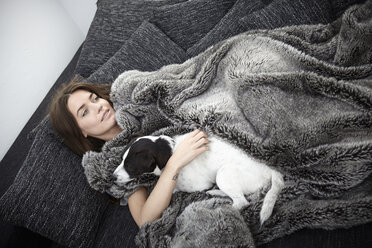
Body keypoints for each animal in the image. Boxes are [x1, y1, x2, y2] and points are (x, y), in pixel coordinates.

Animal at [113, 133, 284, 224]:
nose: (112, 177)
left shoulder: (198, 184)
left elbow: (174, 188)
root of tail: (270, 170)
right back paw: (217, 193)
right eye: (121, 159)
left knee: (241, 202)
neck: (171, 152)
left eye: (130, 166)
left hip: (223, 174)